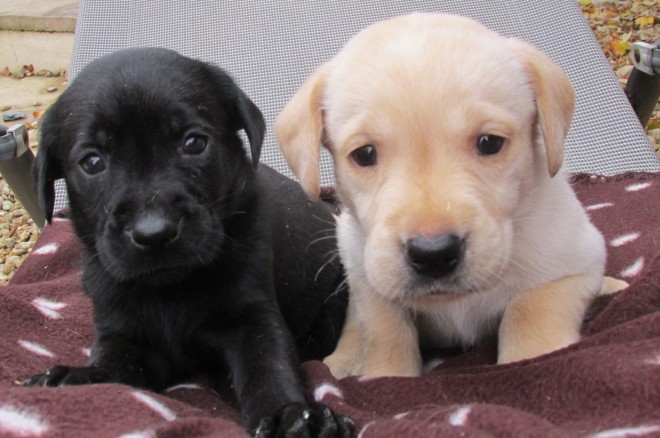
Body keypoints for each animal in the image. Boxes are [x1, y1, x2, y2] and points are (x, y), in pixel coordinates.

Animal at [25, 48, 354, 438]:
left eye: (194, 143)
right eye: (92, 162)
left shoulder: (253, 316)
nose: (153, 232)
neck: (171, 289)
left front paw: (289, 416)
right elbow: (113, 368)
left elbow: (268, 367)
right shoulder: (123, 331)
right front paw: (76, 378)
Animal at [276, 12, 628, 376]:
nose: (433, 254)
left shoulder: (573, 266)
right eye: (364, 154)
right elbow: (386, 335)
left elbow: (530, 313)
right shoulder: (368, 285)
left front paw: (528, 359)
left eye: (490, 142)